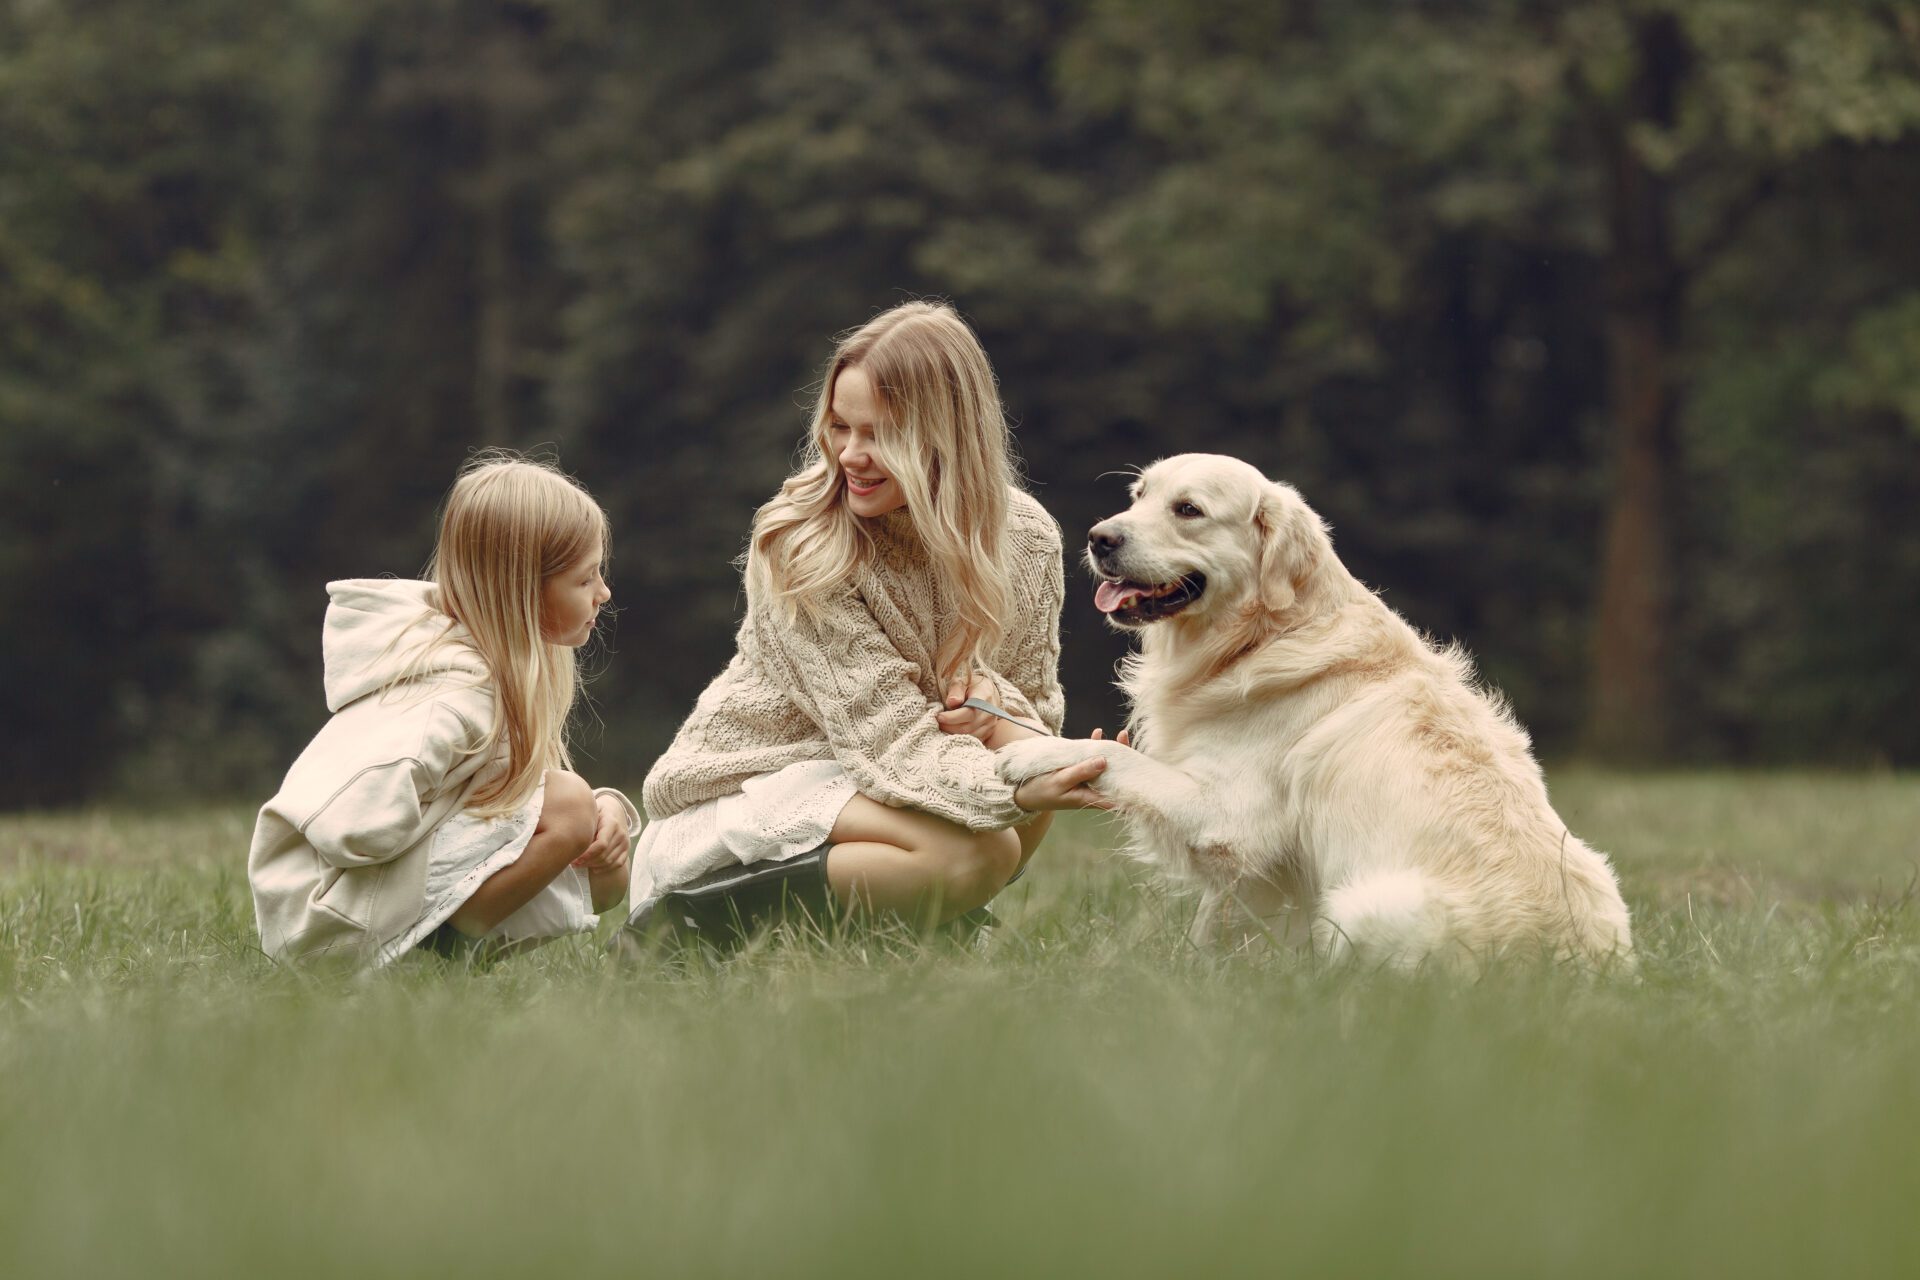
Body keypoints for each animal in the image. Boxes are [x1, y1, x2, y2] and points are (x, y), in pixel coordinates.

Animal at [998, 454, 1628, 967]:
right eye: (1138, 495)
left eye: (1188, 510)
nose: (1097, 538)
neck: (1261, 636)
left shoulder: (1227, 814)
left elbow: (1109, 752)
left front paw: (1033, 753)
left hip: (1367, 905)